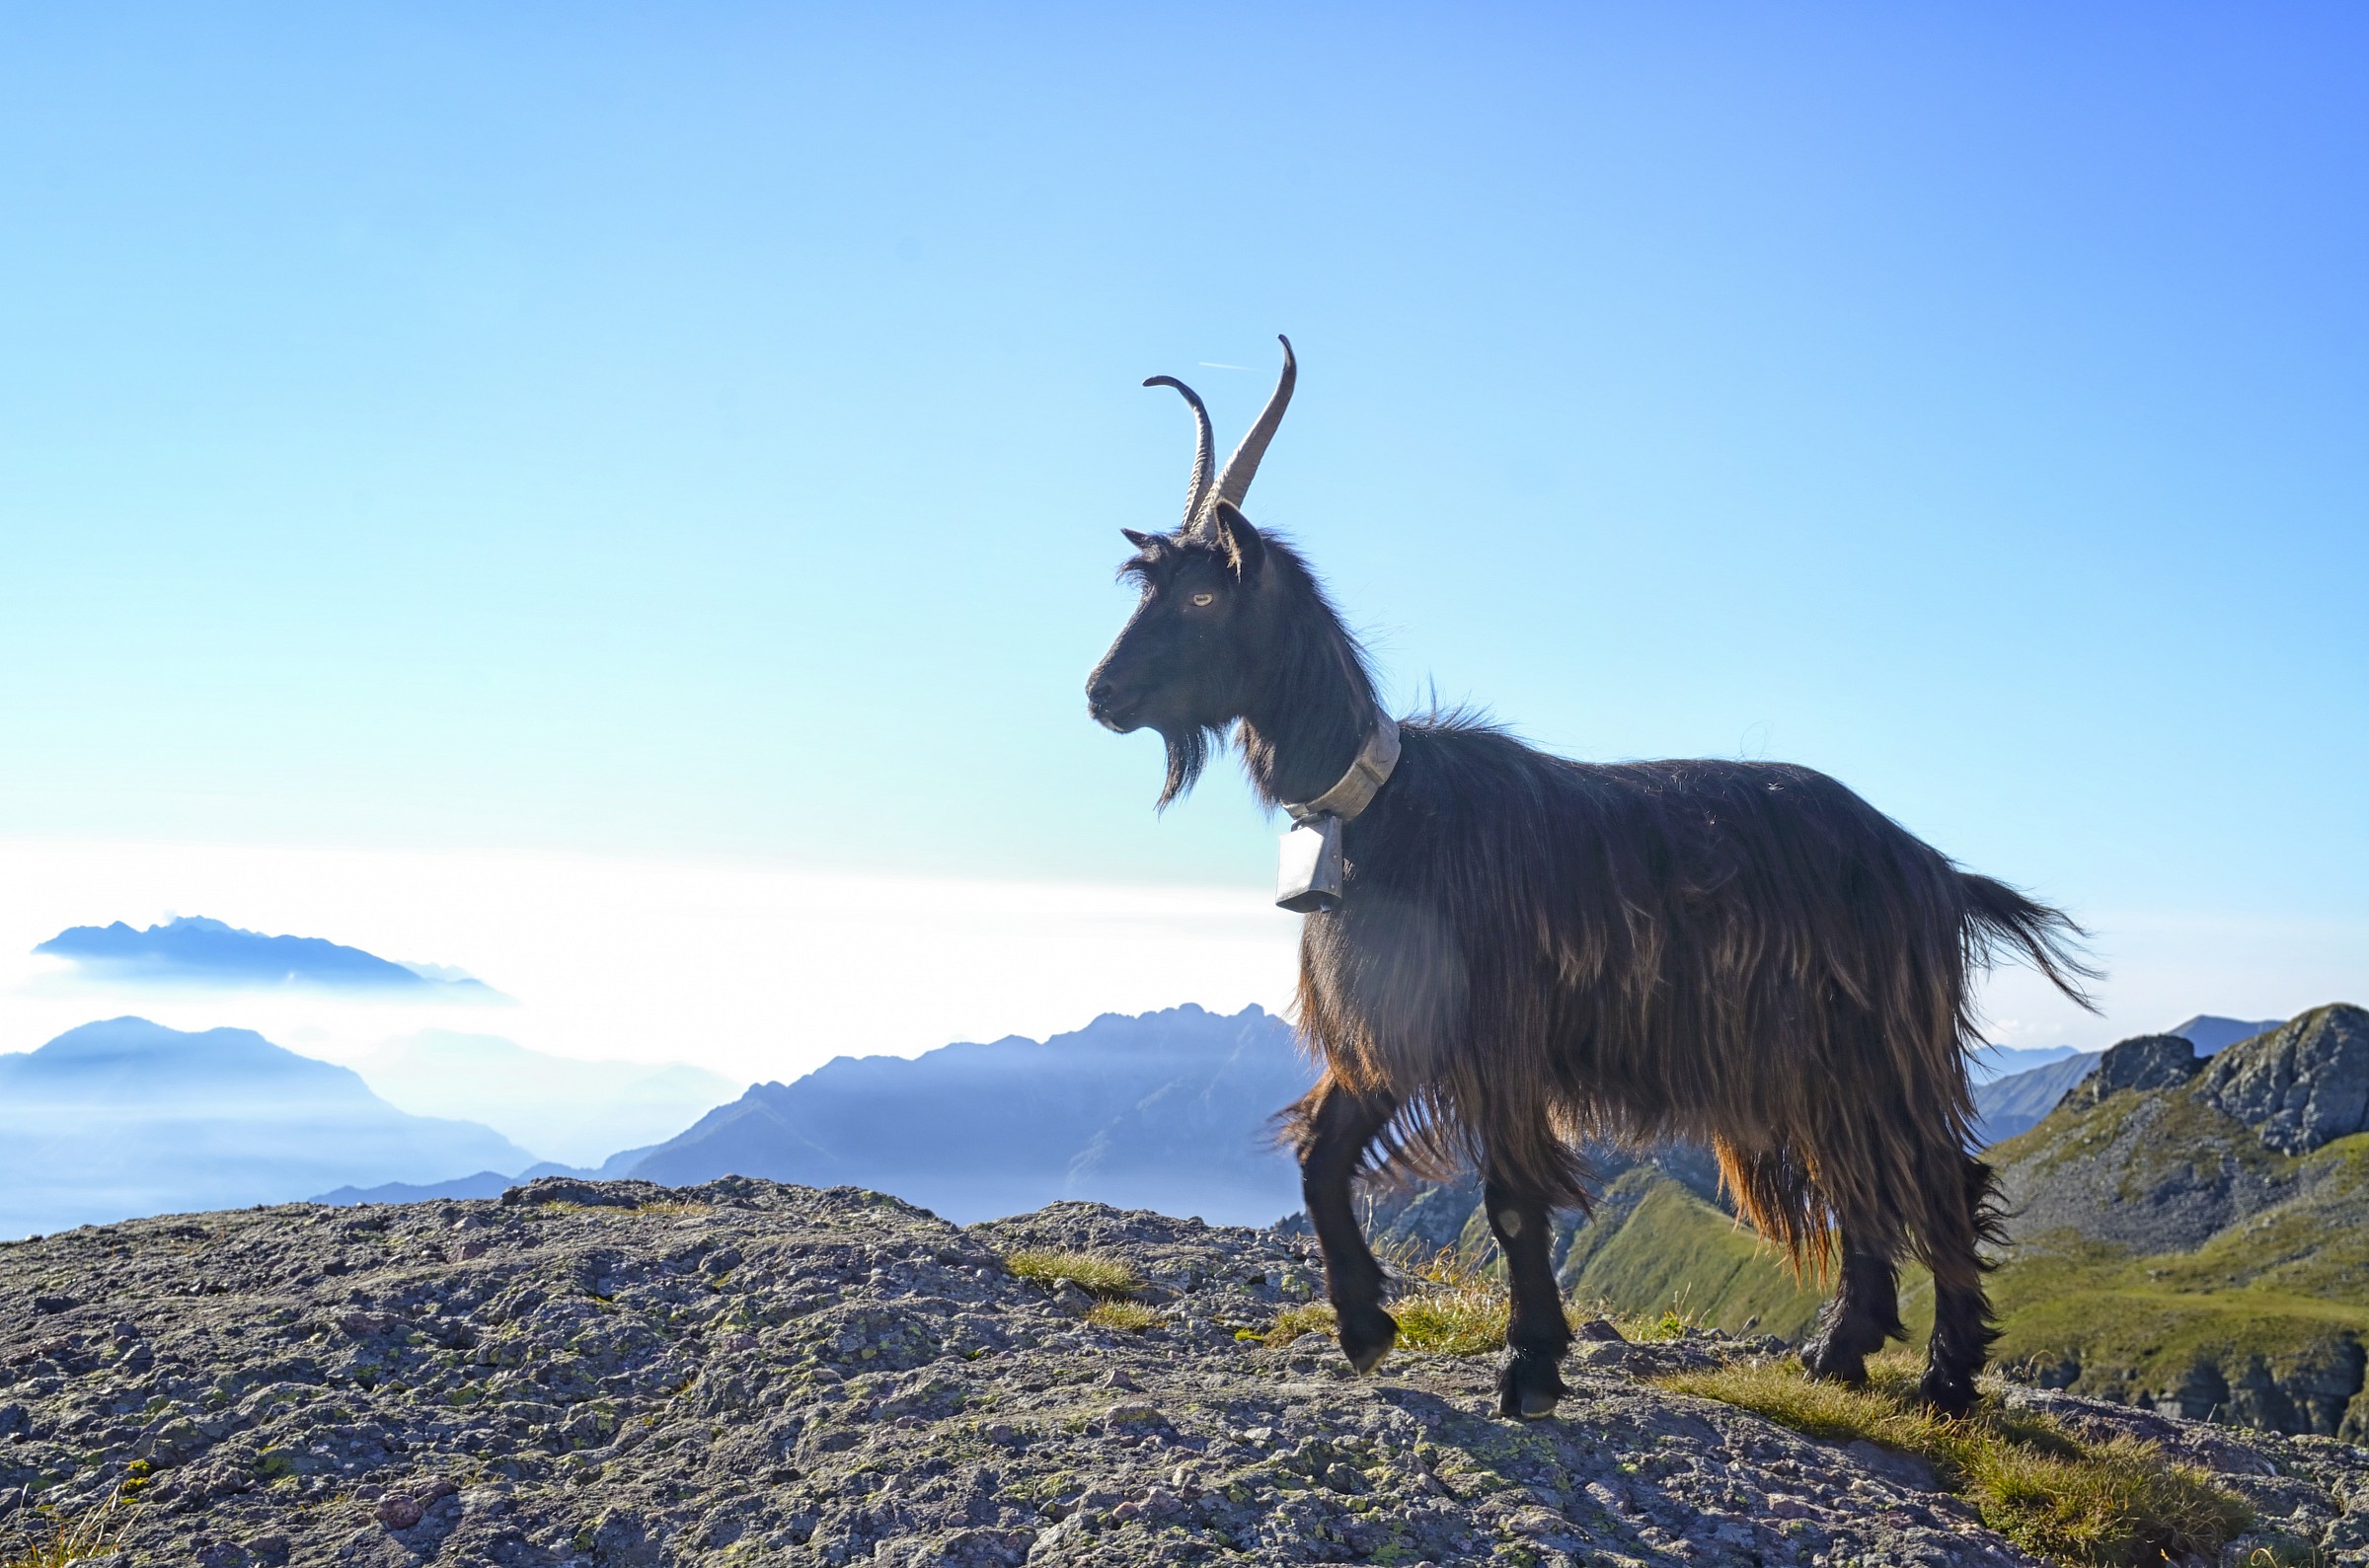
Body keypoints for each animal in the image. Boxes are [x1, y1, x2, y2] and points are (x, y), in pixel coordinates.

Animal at [1085, 338, 2095, 1418]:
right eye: (1144, 587)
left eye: (1201, 595)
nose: (1101, 692)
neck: (1385, 803)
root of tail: (1933, 869)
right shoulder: (1391, 1028)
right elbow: (1321, 1156)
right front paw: (1364, 1326)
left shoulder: (1500, 1037)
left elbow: (1512, 1199)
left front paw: (1530, 1363)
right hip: (1807, 1064)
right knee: (1863, 1184)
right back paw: (1838, 1354)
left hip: (1873, 1052)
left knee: (1939, 1178)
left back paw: (1945, 1377)